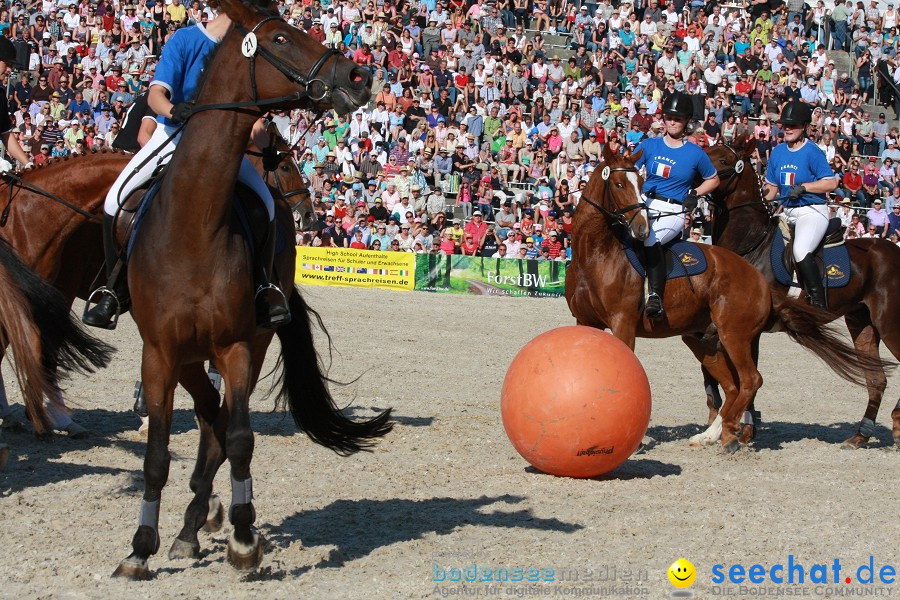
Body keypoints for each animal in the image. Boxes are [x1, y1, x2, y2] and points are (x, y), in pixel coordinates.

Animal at [110, 1, 388, 580]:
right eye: (281, 39)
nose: (359, 75)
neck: (193, 224)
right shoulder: (159, 352)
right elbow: (158, 453)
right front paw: (140, 547)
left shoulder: (238, 346)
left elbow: (238, 439)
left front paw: (242, 537)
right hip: (187, 357)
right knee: (207, 414)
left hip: (249, 345)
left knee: (219, 426)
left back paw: (200, 521)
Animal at [568, 145, 884, 452]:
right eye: (619, 184)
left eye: (642, 185)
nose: (642, 229)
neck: (596, 253)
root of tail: (755, 276)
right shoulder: (586, 322)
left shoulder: (623, 323)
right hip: (708, 338)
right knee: (734, 385)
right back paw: (714, 434)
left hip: (734, 334)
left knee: (749, 380)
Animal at [708, 136, 900, 446]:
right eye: (707, 150)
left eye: (724, 160)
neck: (751, 245)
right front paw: (743, 428)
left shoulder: (749, 328)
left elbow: (749, 374)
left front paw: (744, 431)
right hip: (862, 323)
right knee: (877, 379)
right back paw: (860, 435)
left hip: (890, 323)